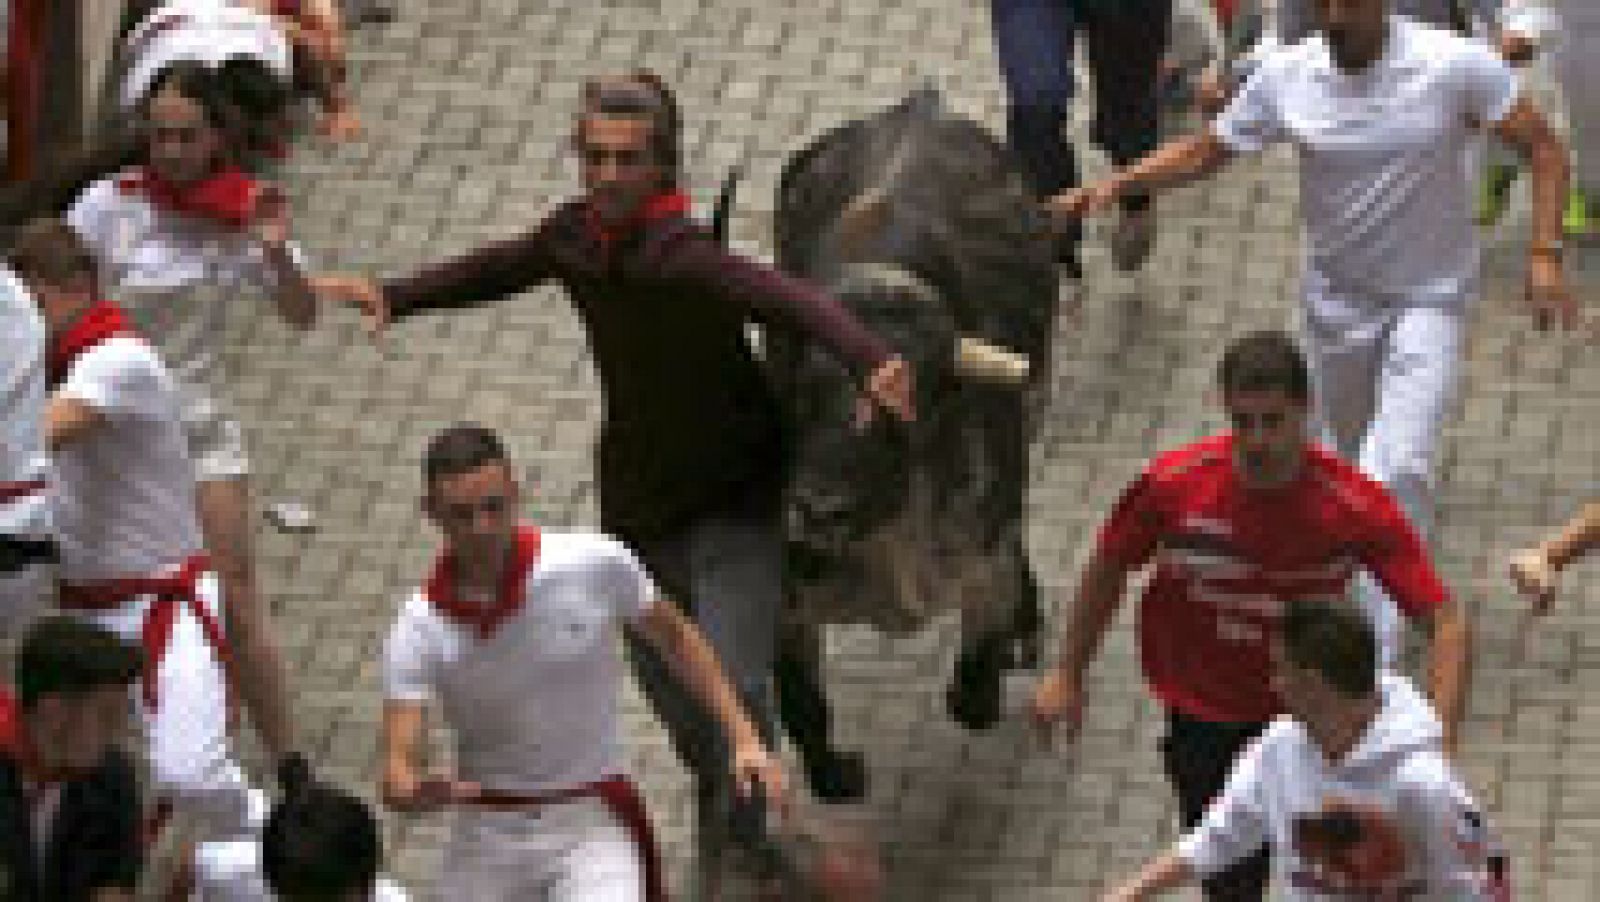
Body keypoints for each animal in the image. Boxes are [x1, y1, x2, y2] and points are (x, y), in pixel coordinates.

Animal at [755, 87, 1056, 754]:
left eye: (905, 410)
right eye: (800, 394)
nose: (820, 512)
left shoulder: (983, 557)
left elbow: (974, 693)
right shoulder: (787, 602)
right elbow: (805, 714)